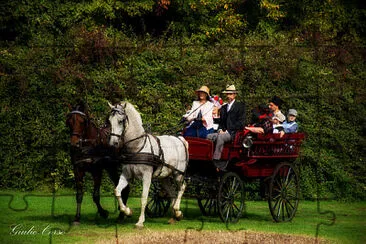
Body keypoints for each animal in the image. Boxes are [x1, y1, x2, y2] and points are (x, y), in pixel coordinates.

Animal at [107, 101, 189, 229]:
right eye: (110, 121)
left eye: (120, 121)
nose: (112, 143)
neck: (137, 146)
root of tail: (180, 139)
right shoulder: (126, 175)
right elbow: (117, 191)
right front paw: (127, 211)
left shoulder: (147, 176)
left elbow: (144, 198)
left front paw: (140, 222)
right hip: (164, 177)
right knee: (172, 193)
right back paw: (174, 216)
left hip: (178, 174)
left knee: (182, 188)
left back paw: (177, 210)